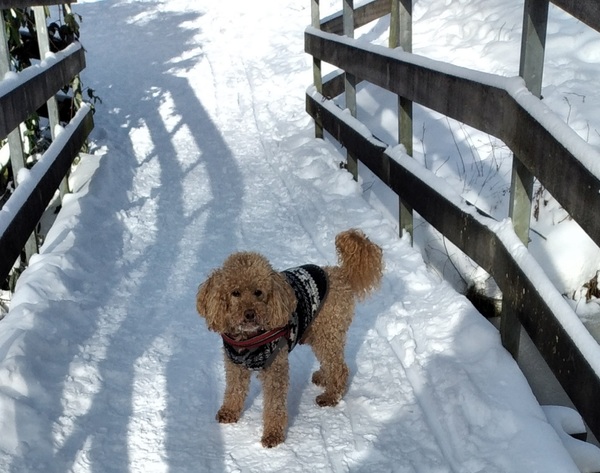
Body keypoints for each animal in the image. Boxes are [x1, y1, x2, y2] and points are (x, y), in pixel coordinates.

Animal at [196, 229, 383, 447]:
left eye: (258, 292)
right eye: (235, 293)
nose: (250, 314)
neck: (248, 338)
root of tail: (341, 275)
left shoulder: (275, 369)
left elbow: (274, 405)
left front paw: (273, 436)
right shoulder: (235, 365)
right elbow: (234, 390)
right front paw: (229, 413)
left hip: (327, 332)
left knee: (339, 367)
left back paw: (330, 396)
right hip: (317, 334)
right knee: (332, 363)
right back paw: (323, 377)